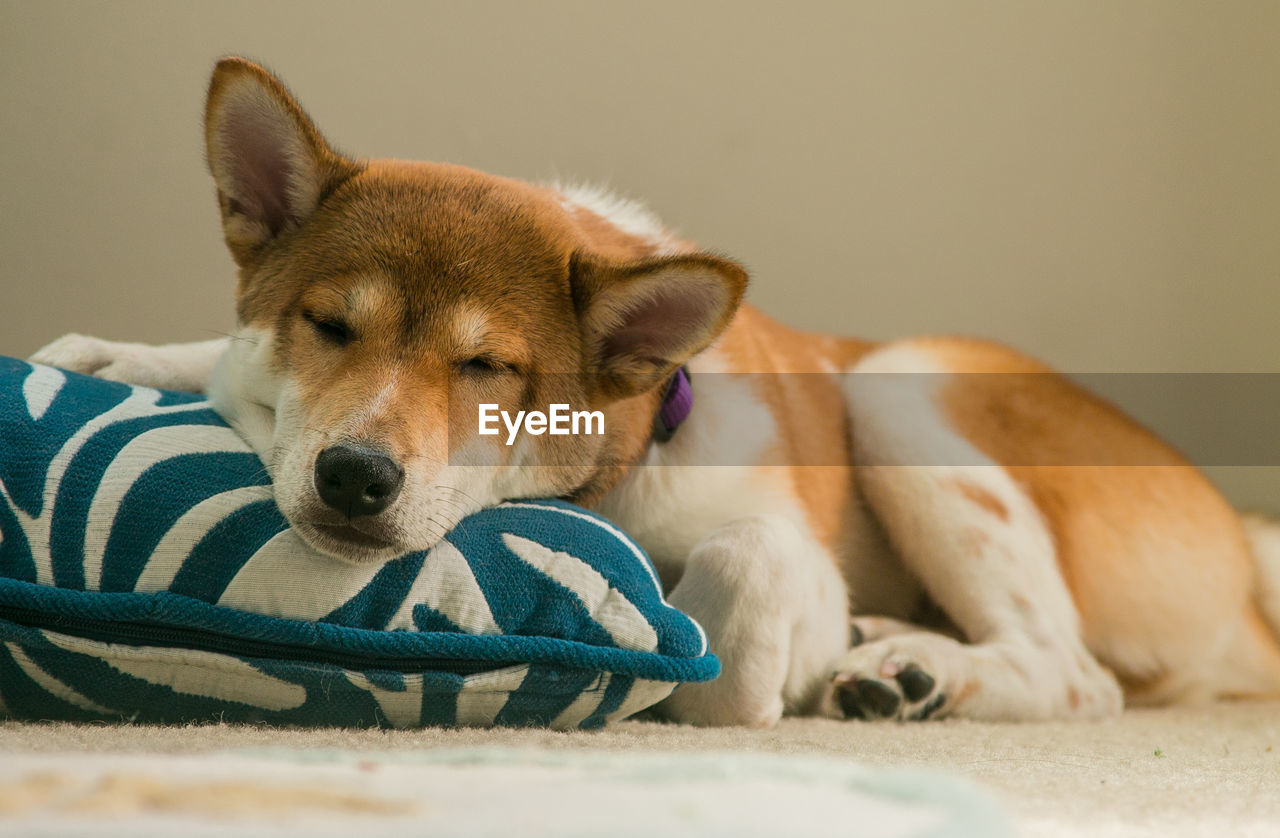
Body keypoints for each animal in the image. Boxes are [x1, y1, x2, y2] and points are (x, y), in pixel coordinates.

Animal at [30, 57, 1280, 726]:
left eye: (489, 368)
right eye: (329, 325)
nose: (353, 477)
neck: (619, 474)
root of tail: (1242, 547)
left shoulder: (765, 538)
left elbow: (742, 573)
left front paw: (757, 666)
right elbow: (214, 360)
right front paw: (117, 357)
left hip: (900, 385)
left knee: (1077, 675)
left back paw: (898, 668)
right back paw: (903, 657)